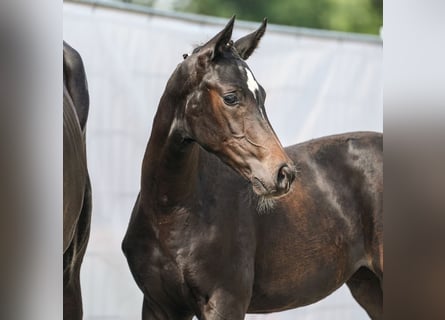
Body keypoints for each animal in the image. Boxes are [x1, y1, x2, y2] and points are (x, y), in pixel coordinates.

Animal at [121, 17, 382, 320]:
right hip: (368, 285)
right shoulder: (160, 305)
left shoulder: (226, 302)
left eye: (263, 96)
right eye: (231, 97)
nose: (283, 173)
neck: (171, 213)